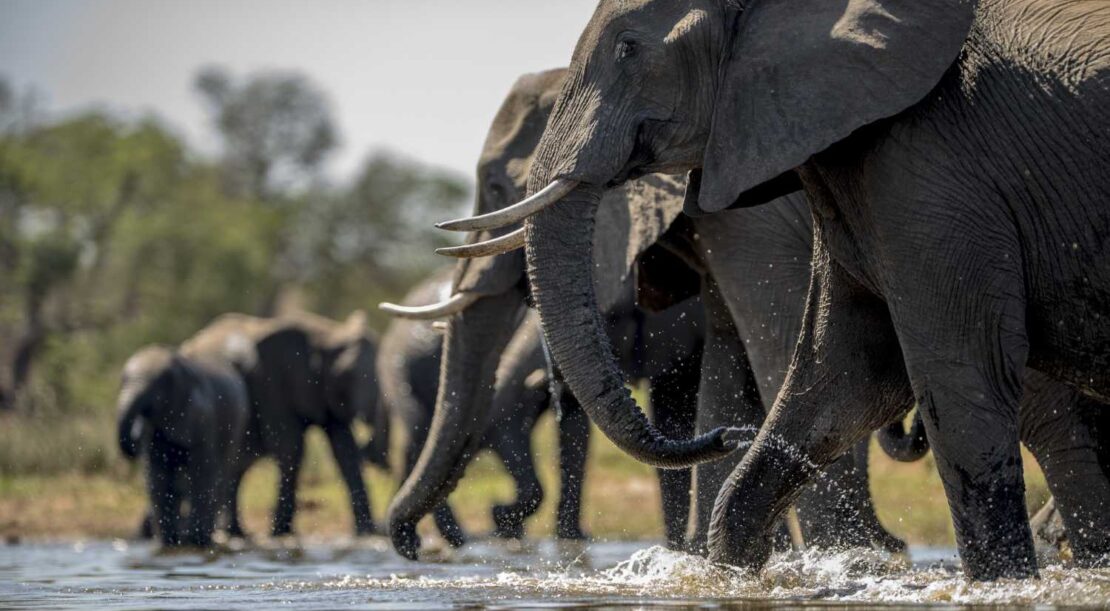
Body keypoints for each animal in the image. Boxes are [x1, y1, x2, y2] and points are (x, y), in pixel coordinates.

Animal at [119, 339, 254, 551]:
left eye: (157, 387)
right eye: (122, 380)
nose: (135, 436)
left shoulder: (203, 416)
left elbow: (201, 472)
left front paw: (196, 541)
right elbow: (157, 475)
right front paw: (168, 543)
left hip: (237, 425)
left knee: (220, 476)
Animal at [190, 313, 381, 539]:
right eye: (347, 374)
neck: (326, 335)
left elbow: (345, 450)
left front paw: (366, 533)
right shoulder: (271, 381)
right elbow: (291, 446)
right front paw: (281, 533)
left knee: (237, 467)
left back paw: (237, 533)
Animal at [446, 0, 1110, 582]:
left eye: (629, 48)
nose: (726, 442)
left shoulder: (928, 169)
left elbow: (952, 371)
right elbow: (841, 374)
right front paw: (733, 571)